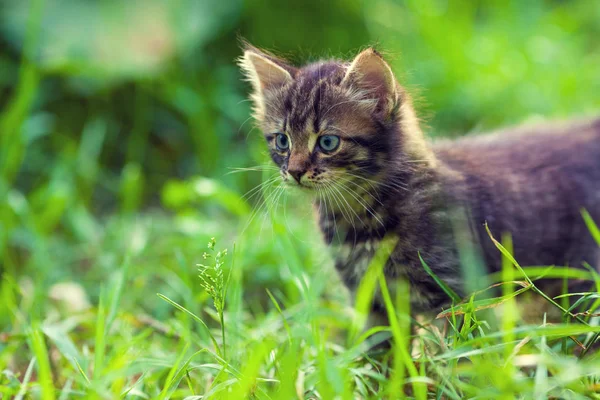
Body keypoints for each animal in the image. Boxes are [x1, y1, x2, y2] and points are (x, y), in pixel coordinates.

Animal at [238, 43, 600, 318]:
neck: (359, 216)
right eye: (282, 141)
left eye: (327, 142)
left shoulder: (447, 291)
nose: (295, 171)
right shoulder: (369, 298)